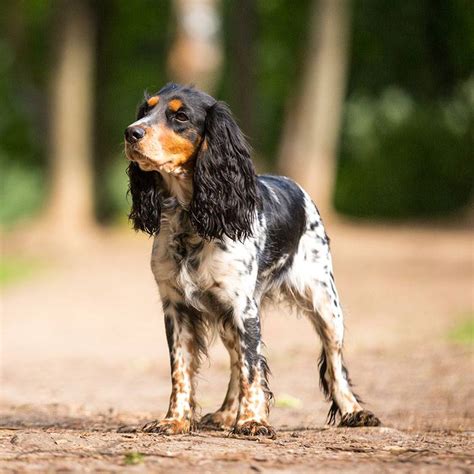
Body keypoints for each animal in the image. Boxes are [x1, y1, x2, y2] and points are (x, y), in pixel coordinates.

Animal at [124, 82, 380, 436]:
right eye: (146, 110)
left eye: (180, 116)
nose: (130, 133)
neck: (192, 219)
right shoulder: (178, 308)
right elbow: (182, 370)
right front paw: (175, 419)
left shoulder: (241, 306)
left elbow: (252, 368)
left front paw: (252, 420)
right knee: (238, 359)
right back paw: (224, 413)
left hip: (325, 305)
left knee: (334, 364)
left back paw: (354, 412)